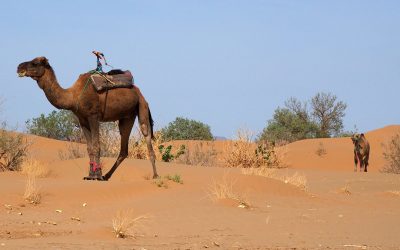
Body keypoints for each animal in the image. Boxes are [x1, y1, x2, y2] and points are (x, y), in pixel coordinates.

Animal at [16, 56, 158, 181]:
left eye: (35, 63)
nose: (19, 67)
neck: (73, 96)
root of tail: (137, 90)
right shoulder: (82, 119)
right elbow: (89, 148)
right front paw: (90, 175)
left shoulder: (93, 116)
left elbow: (96, 145)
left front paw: (97, 175)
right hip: (127, 117)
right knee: (124, 149)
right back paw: (107, 176)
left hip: (142, 106)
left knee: (146, 134)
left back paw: (155, 175)